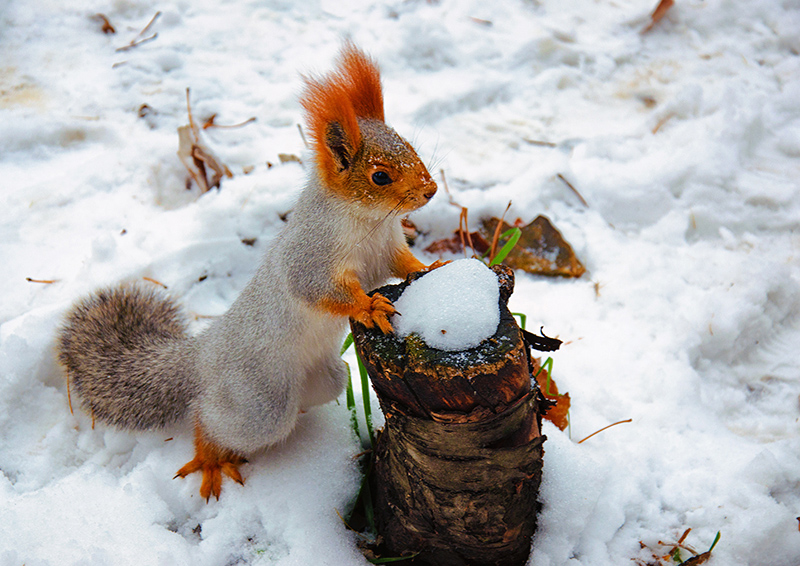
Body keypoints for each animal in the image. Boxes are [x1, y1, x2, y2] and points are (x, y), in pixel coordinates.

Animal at [57, 45, 438, 506]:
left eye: (411, 147)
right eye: (380, 175)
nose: (431, 190)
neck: (367, 221)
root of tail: (204, 354)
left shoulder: (386, 248)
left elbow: (402, 266)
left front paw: (433, 268)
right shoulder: (309, 256)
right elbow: (314, 288)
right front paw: (368, 305)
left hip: (325, 379)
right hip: (258, 400)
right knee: (212, 417)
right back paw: (211, 457)